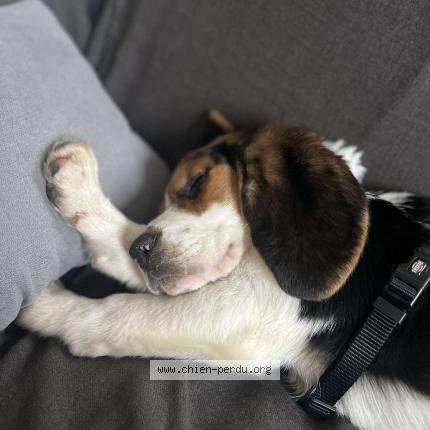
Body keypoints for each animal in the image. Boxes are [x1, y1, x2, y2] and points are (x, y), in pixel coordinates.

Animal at [18, 115, 430, 430]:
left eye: (197, 181)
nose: (141, 251)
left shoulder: (248, 309)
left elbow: (116, 312)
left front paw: (44, 308)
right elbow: (125, 238)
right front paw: (79, 191)